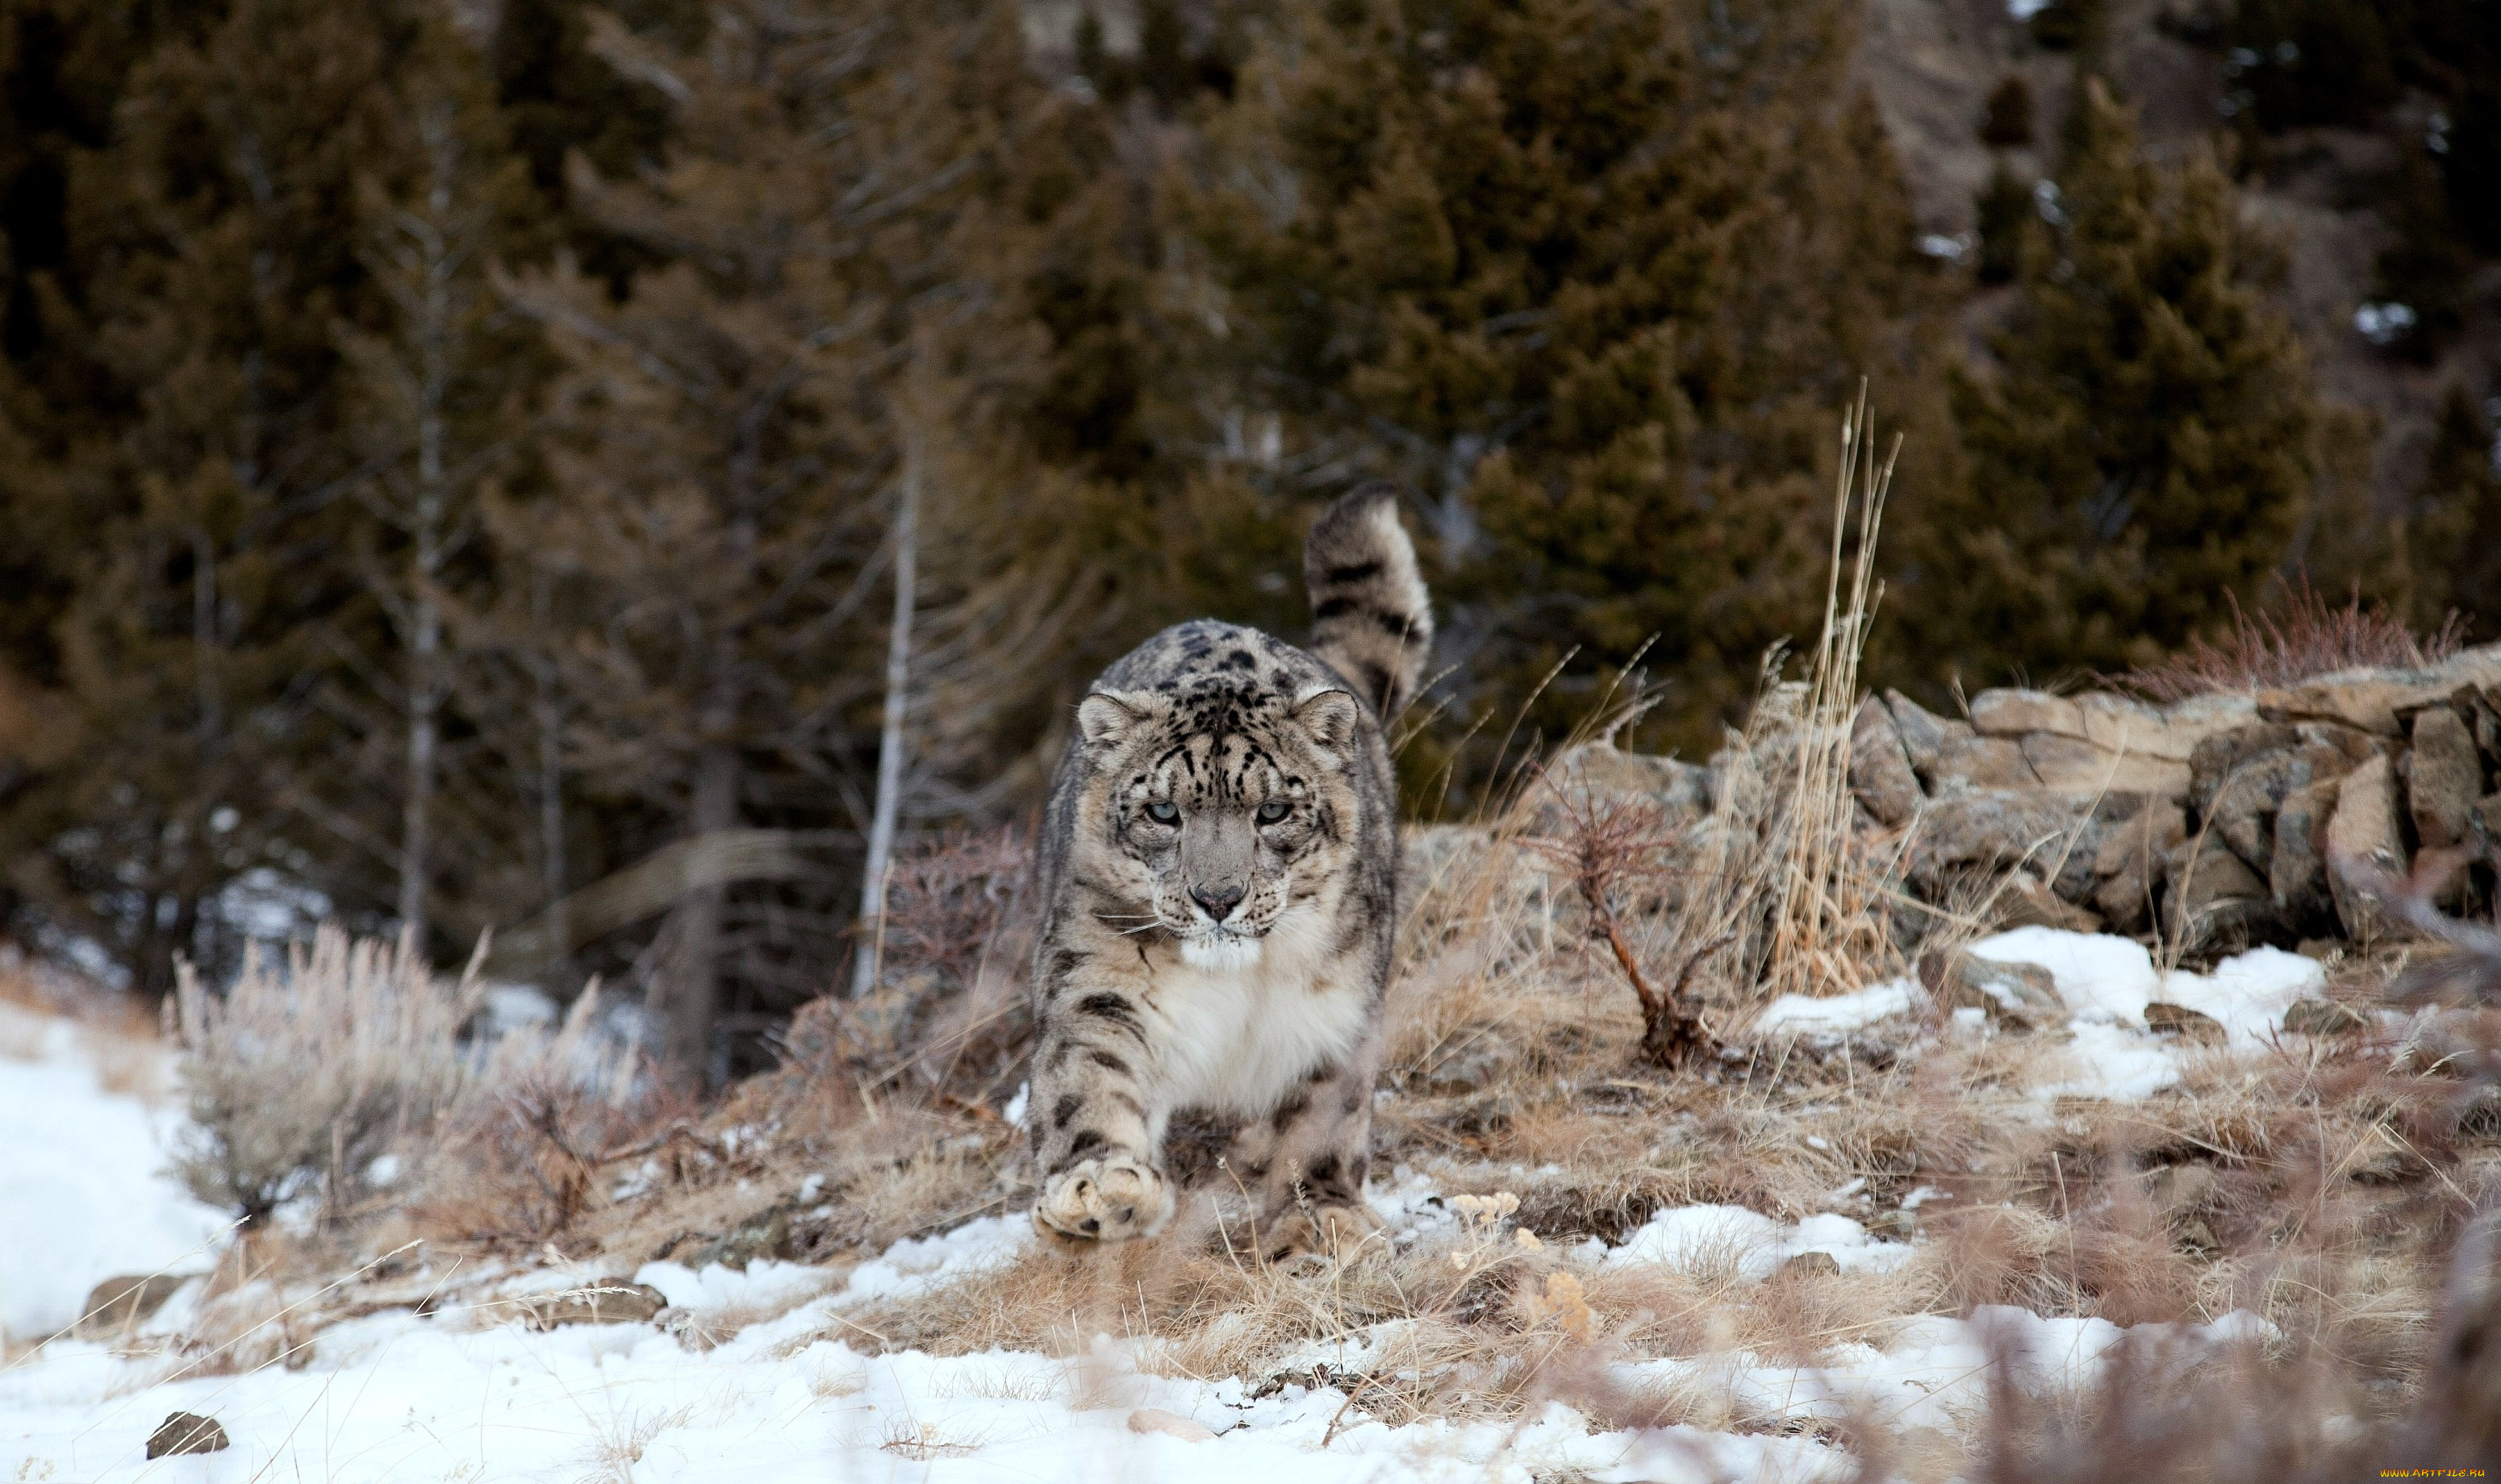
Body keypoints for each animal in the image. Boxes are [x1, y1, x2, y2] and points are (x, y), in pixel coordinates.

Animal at [1025, 479, 1440, 1254]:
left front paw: (1321, 1213)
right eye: (1163, 812)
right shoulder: (1097, 976)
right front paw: (1100, 1189)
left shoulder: (1336, 1012)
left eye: (1273, 811)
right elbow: (1088, 1074)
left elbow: (1325, 1114)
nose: (1218, 898)